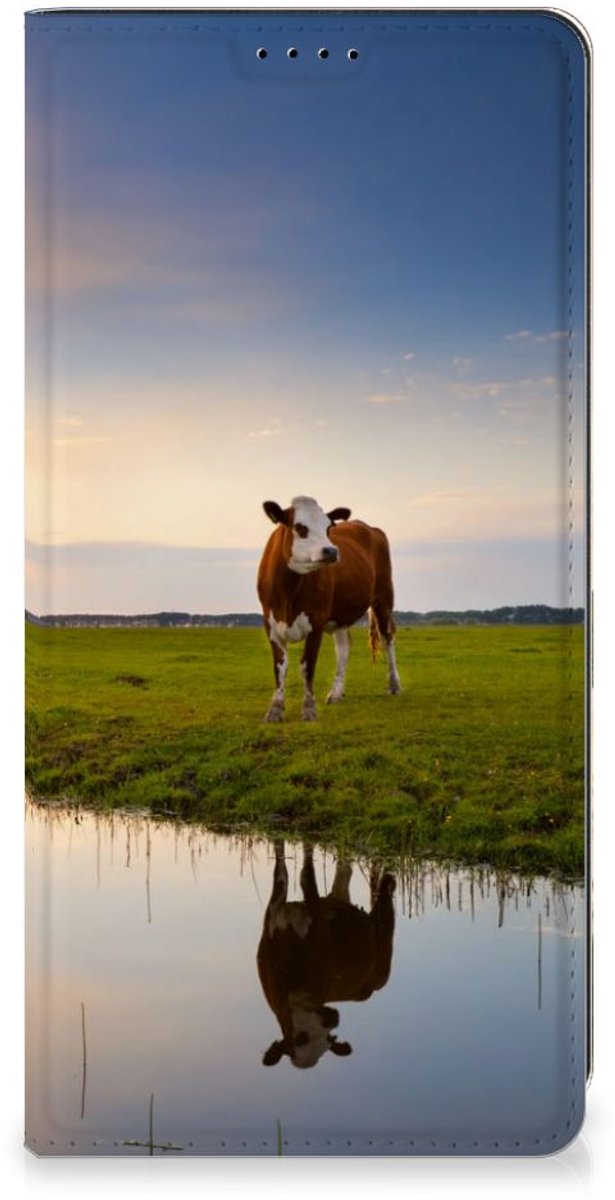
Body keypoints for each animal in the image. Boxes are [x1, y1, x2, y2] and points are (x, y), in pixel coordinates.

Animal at [256, 495, 401, 722]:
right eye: (300, 527)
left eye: (328, 528)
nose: (332, 551)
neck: (288, 591)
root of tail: (369, 527)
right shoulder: (270, 623)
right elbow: (280, 667)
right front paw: (275, 709)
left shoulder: (316, 621)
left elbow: (307, 665)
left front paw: (309, 708)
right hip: (341, 615)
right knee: (343, 647)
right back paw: (336, 693)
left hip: (384, 598)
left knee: (388, 638)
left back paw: (394, 684)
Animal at [256, 841, 396, 1070]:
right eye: (300, 1038)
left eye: (328, 1039)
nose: (333, 1019)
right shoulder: (273, 913)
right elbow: (281, 868)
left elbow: (306, 875)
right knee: (344, 872)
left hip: (383, 953)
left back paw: (388, 881)